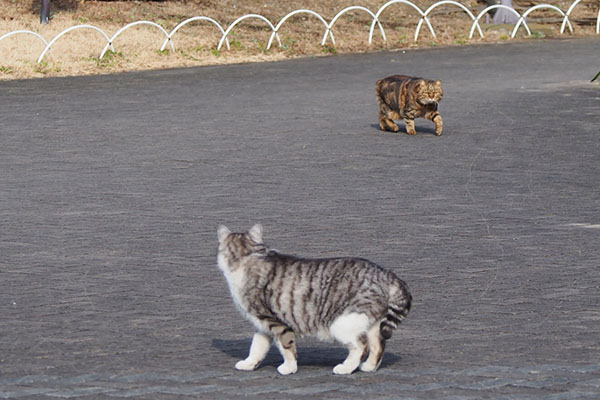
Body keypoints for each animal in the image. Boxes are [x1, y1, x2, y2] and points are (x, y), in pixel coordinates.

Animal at [217, 225, 412, 376]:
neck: (246, 257)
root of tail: (386, 273)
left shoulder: (275, 321)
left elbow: (287, 346)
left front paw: (289, 368)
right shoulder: (262, 324)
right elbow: (257, 347)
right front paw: (249, 363)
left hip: (343, 322)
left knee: (361, 346)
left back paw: (345, 368)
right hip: (370, 322)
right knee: (378, 345)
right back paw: (369, 367)